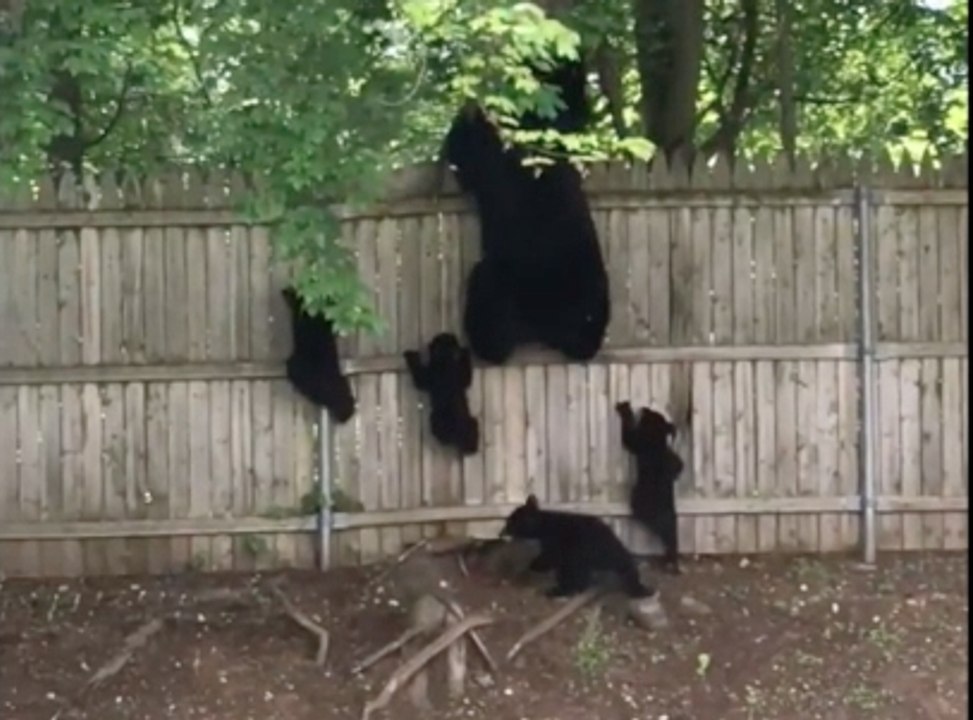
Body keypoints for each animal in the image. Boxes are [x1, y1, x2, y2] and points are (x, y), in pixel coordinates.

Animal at [500, 494, 655, 599]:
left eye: (512, 522)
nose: (502, 530)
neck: (544, 525)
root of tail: (617, 548)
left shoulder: (554, 548)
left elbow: (548, 558)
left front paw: (535, 565)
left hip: (577, 554)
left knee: (577, 579)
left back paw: (558, 591)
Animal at [615, 401, 685, 574]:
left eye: (652, 414)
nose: (645, 408)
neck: (657, 438)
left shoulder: (638, 442)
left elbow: (628, 437)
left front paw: (624, 409)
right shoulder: (671, 458)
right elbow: (678, 463)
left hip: (638, 498)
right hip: (671, 525)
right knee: (672, 540)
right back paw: (671, 560)